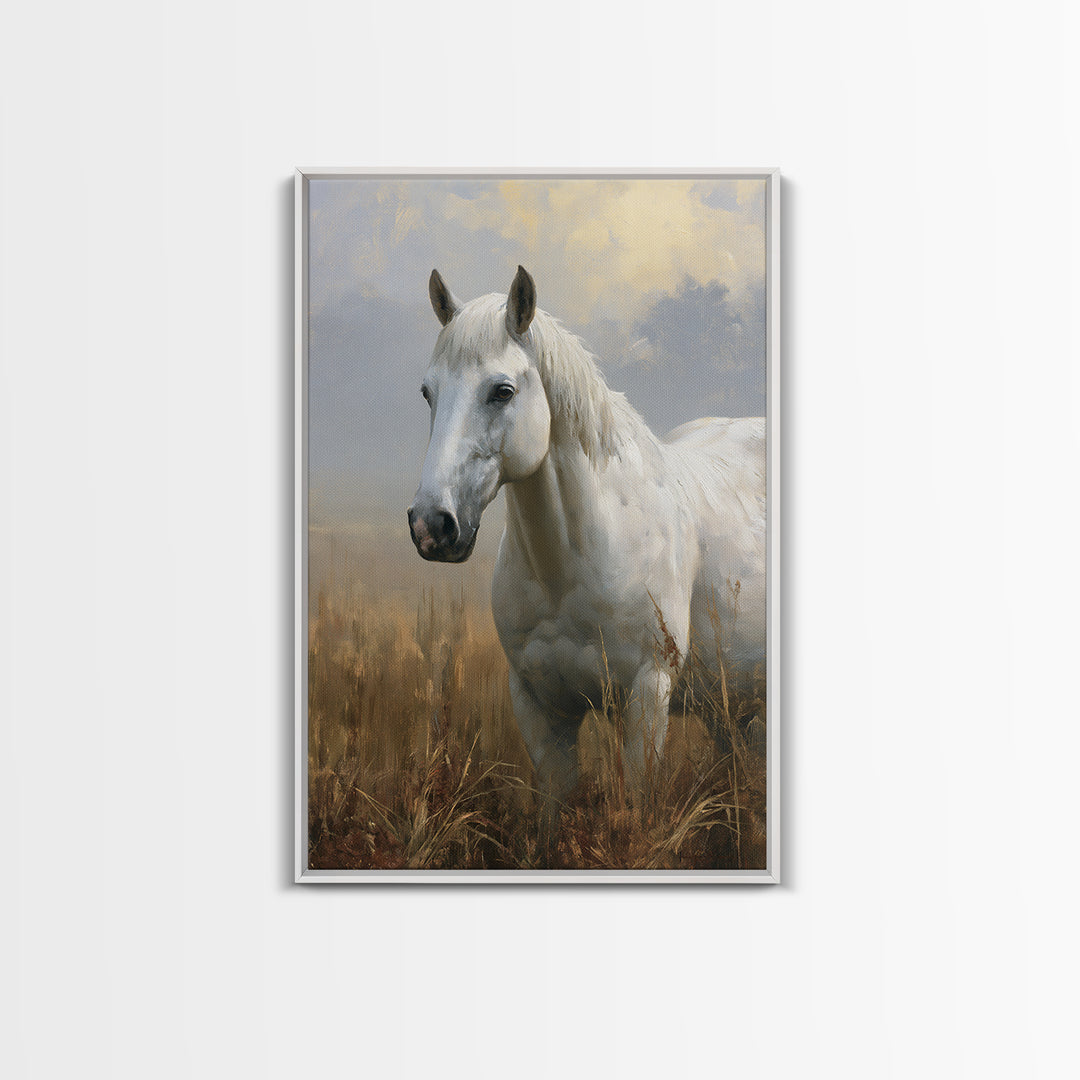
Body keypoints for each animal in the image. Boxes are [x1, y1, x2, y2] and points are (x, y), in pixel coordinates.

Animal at [408, 266, 766, 803]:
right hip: (731, 707)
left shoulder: (647, 696)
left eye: (502, 391)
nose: (431, 525)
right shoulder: (539, 706)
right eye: (428, 392)